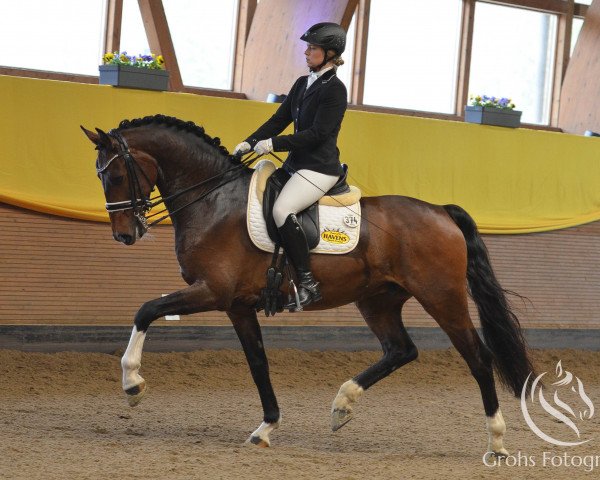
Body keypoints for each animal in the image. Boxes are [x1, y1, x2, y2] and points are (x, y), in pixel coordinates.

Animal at [81, 114, 536, 456]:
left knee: (478, 357)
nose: (124, 234)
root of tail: (441, 211)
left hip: (442, 297)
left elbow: (146, 310)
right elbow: (258, 363)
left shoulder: (213, 291)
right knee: (401, 350)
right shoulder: (237, 305)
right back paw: (342, 405)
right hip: (378, 300)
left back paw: (496, 441)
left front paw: (133, 384)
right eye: (100, 176)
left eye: (117, 174)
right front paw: (266, 427)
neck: (213, 200)